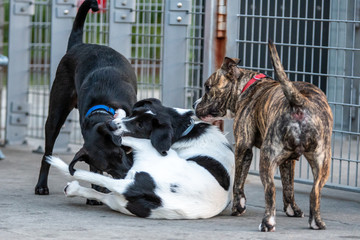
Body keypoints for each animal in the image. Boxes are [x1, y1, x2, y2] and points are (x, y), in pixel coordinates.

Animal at [34, 0, 136, 196]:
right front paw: (97, 190)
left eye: (120, 154)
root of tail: (77, 45)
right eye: (107, 167)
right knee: (47, 154)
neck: (103, 107)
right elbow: (94, 173)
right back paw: (41, 185)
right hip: (55, 115)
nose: (127, 177)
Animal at [47, 98, 235, 219]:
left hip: (145, 150)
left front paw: (117, 117)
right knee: (101, 193)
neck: (187, 129)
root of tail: (135, 187)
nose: (111, 124)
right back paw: (72, 189)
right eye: (134, 113)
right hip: (118, 201)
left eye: (139, 125)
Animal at [195, 40, 334, 232]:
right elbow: (288, 185)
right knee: (315, 191)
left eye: (208, 87)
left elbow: (238, 181)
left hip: (267, 159)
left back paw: (268, 222)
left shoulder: (243, 147)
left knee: (270, 190)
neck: (248, 86)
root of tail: (299, 101)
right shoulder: (288, 161)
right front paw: (292, 209)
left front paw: (238, 206)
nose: (194, 105)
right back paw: (316, 222)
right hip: (322, 161)